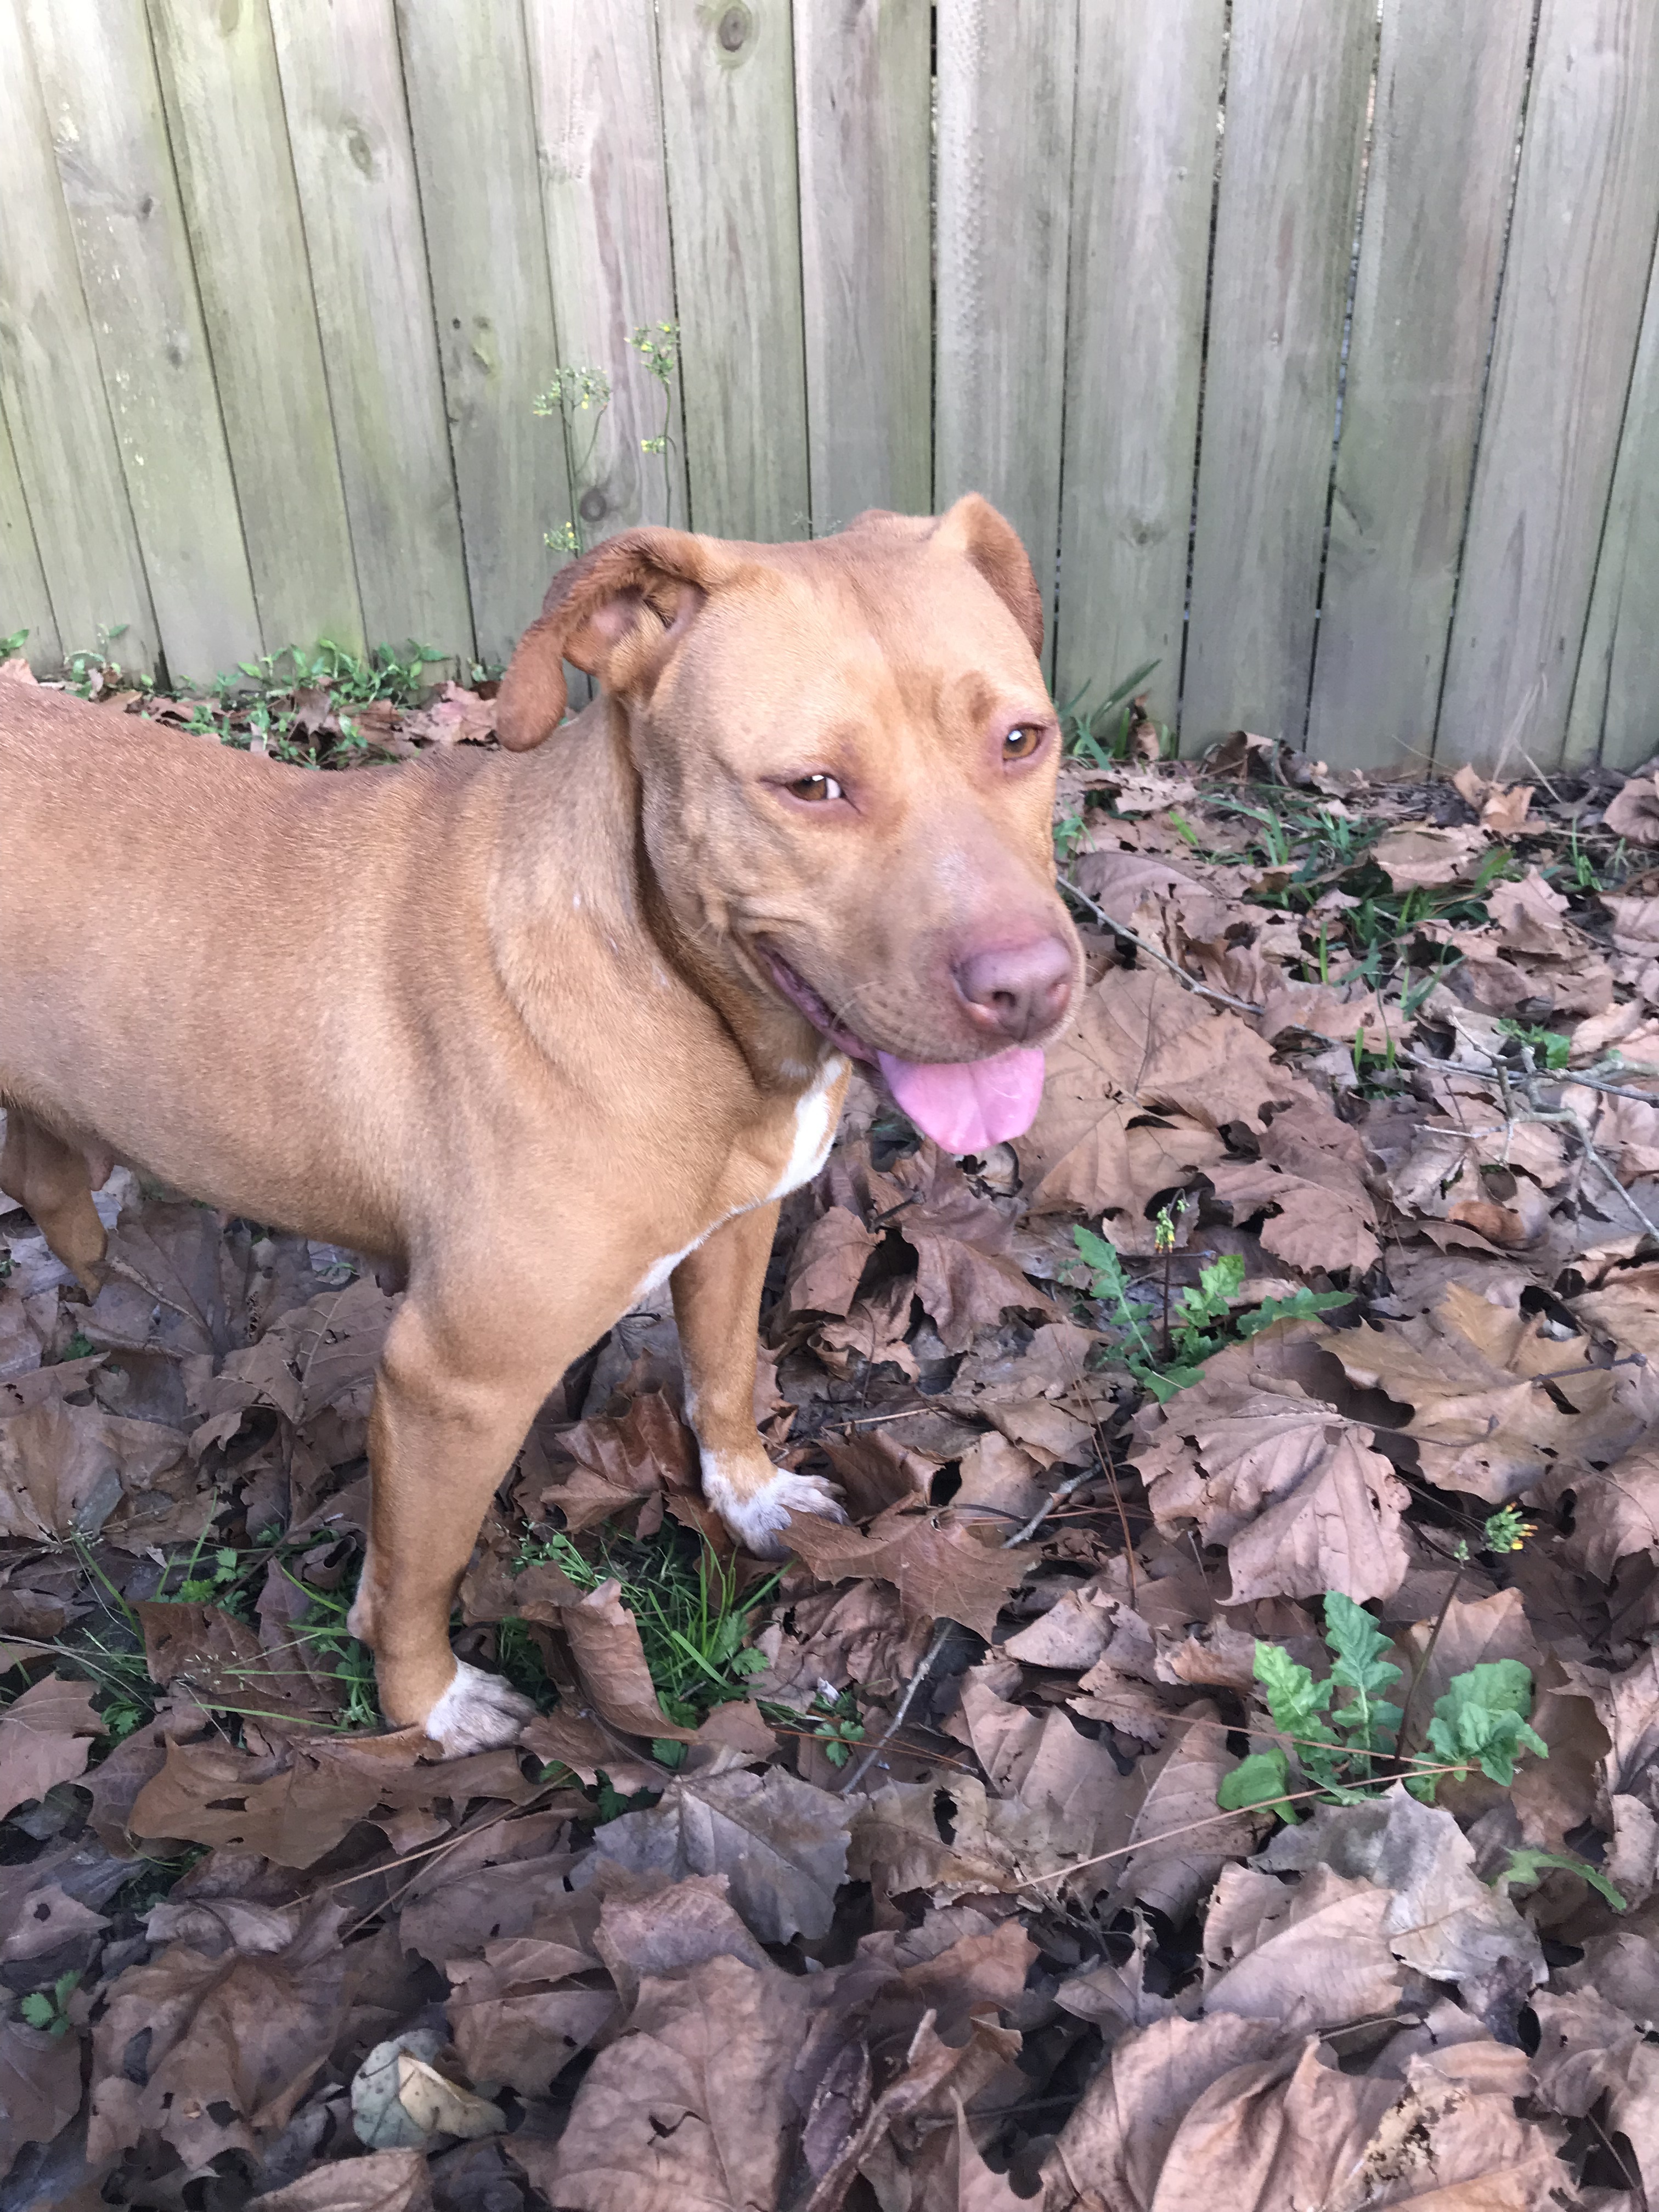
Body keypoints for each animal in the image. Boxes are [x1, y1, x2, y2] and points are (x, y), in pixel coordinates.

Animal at [0, 497, 1083, 1753]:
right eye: (812, 786)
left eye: (1021, 740)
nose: (1033, 987)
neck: (668, 977)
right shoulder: (450, 1382)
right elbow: (415, 1572)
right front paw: (424, 1706)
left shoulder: (732, 1232)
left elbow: (723, 1377)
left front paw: (751, 1495)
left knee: (52, 1187)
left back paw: (109, 1305)